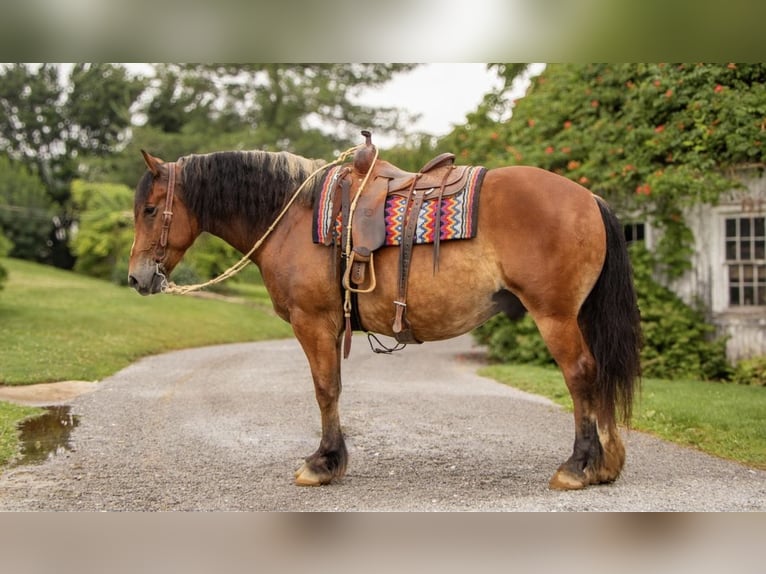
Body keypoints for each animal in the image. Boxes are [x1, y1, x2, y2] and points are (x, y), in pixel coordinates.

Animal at [129, 140, 644, 490]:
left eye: (151, 210)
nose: (136, 278)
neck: (294, 217)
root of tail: (589, 198)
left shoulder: (313, 322)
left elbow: (325, 388)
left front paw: (323, 462)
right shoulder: (329, 326)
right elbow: (332, 387)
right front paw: (332, 459)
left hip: (555, 316)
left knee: (581, 375)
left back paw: (577, 466)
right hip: (578, 315)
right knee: (597, 375)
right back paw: (604, 464)